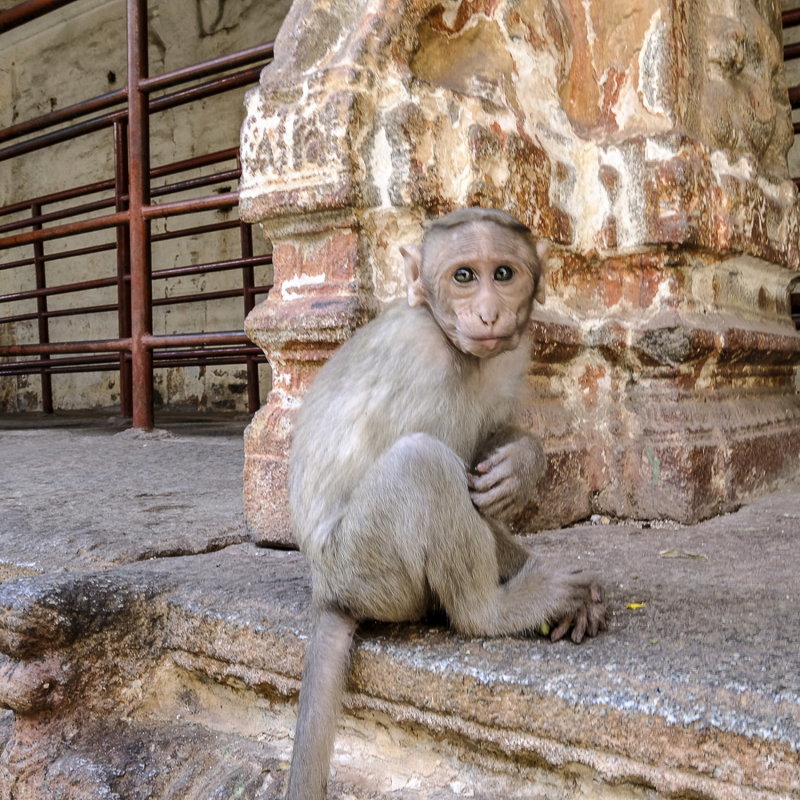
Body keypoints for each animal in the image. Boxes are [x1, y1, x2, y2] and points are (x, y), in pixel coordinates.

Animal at [288, 208, 608, 800]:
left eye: (503, 273)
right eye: (463, 276)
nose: (487, 312)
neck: (448, 336)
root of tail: (327, 592)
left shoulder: (513, 352)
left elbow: (488, 453)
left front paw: (522, 462)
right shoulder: (427, 362)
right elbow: (455, 478)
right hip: (367, 569)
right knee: (420, 462)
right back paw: (494, 611)